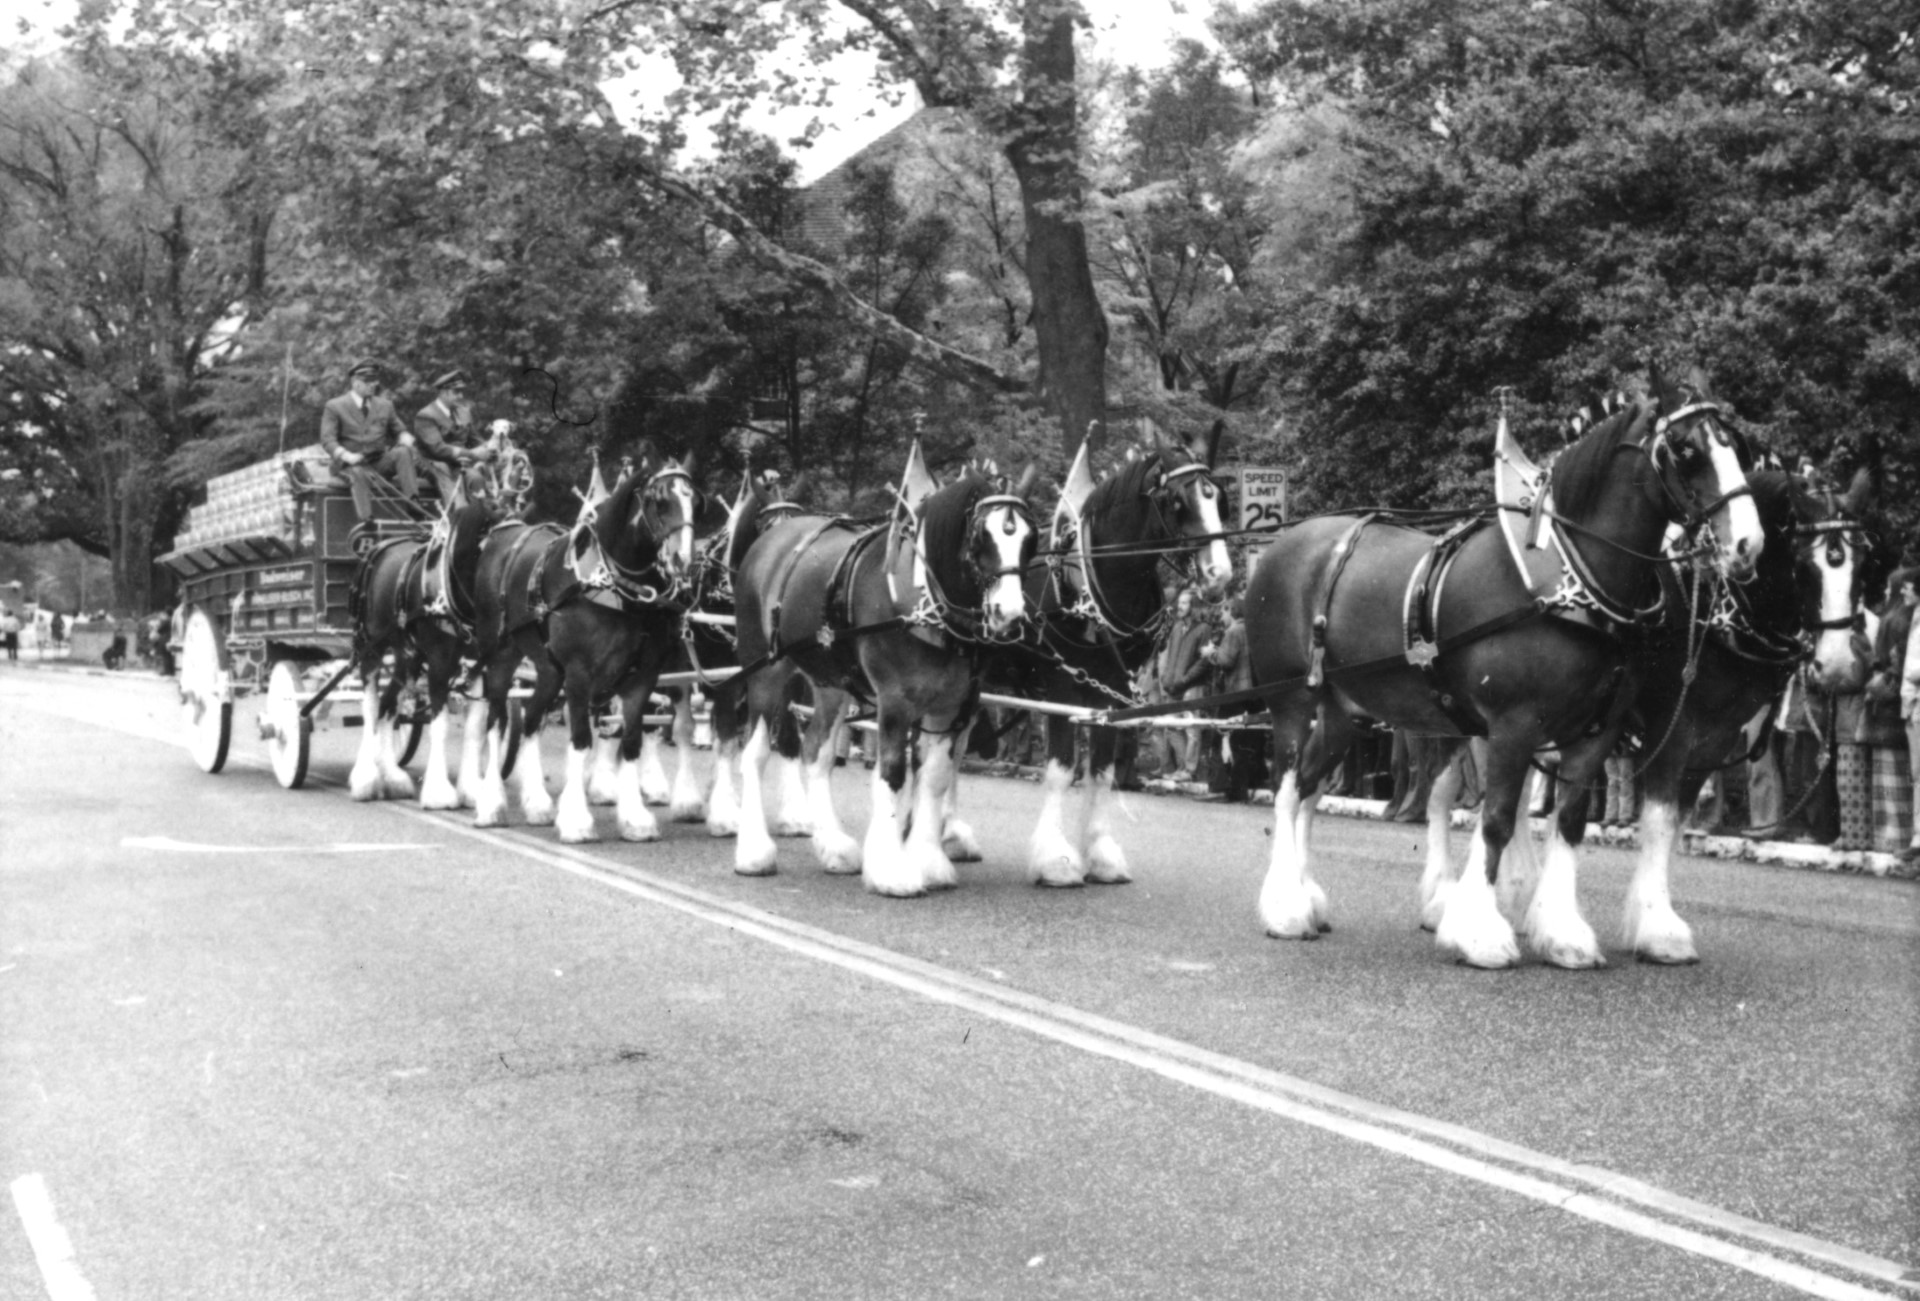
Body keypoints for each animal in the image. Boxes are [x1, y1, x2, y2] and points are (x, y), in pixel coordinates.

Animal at [725, 458, 1044, 898]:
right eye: (983, 536)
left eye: (1030, 538)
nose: (1008, 614)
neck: (920, 601)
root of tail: (770, 542)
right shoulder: (894, 701)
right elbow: (893, 773)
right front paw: (891, 869)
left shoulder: (953, 706)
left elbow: (934, 776)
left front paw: (928, 860)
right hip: (767, 672)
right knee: (755, 752)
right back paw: (754, 852)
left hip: (829, 681)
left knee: (816, 750)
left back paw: (833, 846)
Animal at [975, 427, 1228, 886]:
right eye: (1178, 502)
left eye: (1218, 498)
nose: (1221, 574)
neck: (1090, 585)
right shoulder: (1061, 688)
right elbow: (1061, 770)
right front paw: (1056, 861)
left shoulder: (1111, 692)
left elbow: (1103, 773)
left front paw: (1101, 856)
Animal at [1244, 366, 1766, 967]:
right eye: (1684, 450)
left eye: (1737, 446)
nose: (1748, 544)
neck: (1570, 580)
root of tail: (1284, 542)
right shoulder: (1514, 724)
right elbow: (1494, 820)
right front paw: (1479, 933)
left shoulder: (1596, 731)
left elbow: (1568, 821)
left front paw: (1562, 933)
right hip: (1292, 702)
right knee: (1286, 788)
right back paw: (1285, 909)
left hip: (1342, 711)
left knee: (1308, 787)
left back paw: (1306, 898)